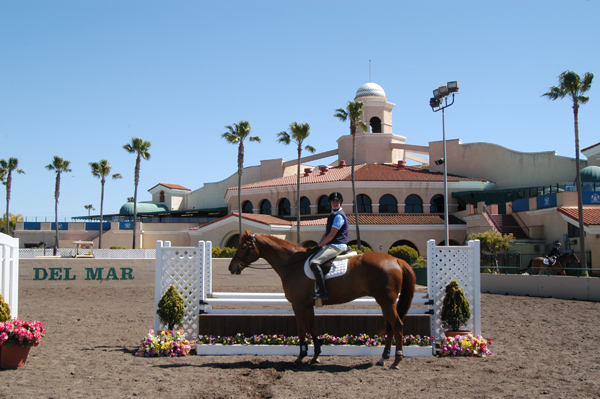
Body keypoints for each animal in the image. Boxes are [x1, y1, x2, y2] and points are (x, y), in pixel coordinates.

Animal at [227, 230, 414, 370]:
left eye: (243, 246)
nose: (231, 267)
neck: (292, 264)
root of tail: (397, 259)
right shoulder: (308, 305)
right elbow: (313, 328)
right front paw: (315, 356)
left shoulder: (298, 305)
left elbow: (302, 330)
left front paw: (300, 357)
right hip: (385, 303)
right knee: (390, 326)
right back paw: (383, 358)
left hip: (386, 302)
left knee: (397, 325)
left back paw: (396, 361)